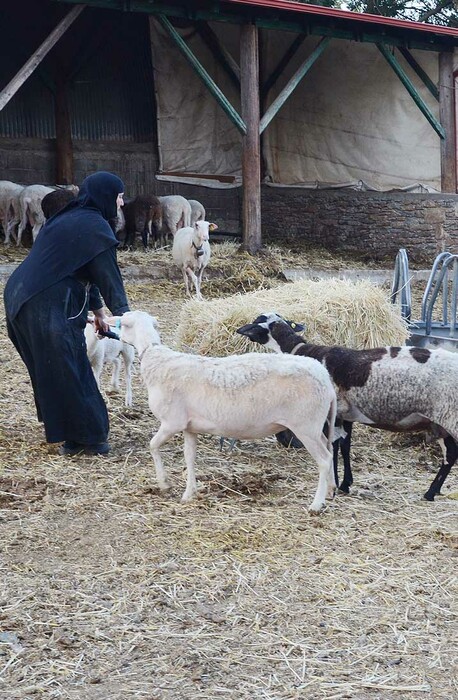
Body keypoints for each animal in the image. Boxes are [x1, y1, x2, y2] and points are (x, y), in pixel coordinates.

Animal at [114, 308, 336, 512]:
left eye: (123, 324)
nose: (114, 334)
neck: (155, 358)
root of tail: (325, 378)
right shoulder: (189, 427)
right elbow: (189, 457)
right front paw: (189, 493)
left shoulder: (171, 422)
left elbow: (153, 446)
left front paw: (164, 483)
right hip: (316, 426)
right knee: (331, 450)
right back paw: (331, 489)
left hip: (305, 425)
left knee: (324, 460)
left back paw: (317, 504)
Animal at [238, 314, 458, 504]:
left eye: (256, 322)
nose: (241, 330)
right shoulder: (347, 415)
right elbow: (345, 446)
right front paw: (345, 484)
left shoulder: (334, 415)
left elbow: (333, 448)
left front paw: (334, 486)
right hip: (440, 422)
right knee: (450, 454)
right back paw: (431, 492)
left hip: (451, 416)